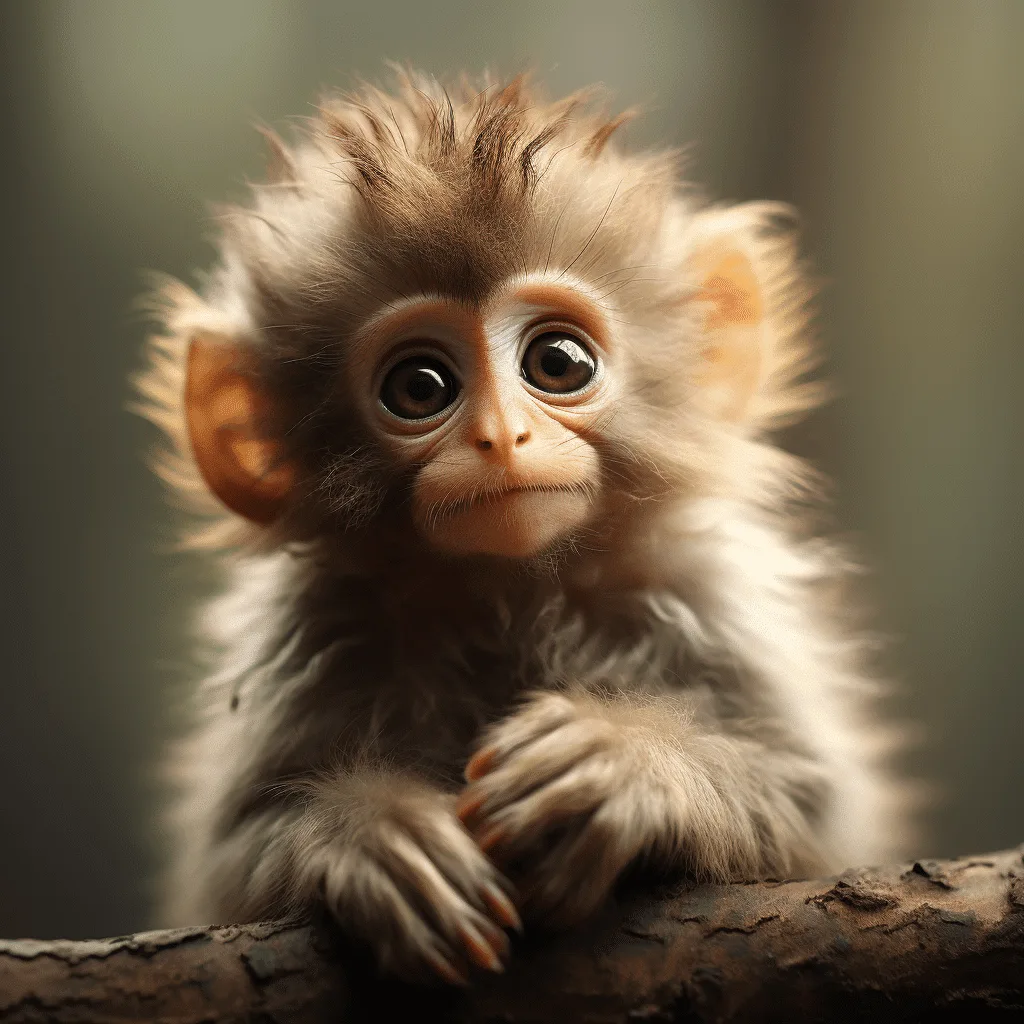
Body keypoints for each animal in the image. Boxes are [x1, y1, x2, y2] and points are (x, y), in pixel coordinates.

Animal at [135, 70, 909, 985]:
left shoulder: (714, 598)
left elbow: (828, 819)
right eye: (421, 385)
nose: (502, 437)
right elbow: (226, 868)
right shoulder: (311, 632)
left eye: (558, 364)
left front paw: (625, 765)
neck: (512, 594)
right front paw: (372, 835)